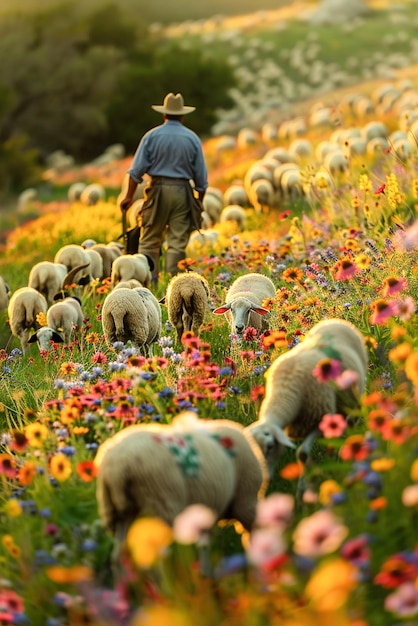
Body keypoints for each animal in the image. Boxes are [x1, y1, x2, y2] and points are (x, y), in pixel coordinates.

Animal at [93, 410, 270, 564]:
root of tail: (117, 466)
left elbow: (204, 548)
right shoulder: (245, 501)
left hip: (118, 511)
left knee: (118, 554)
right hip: (164, 503)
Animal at [247, 320, 368, 476]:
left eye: (270, 446)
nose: (264, 477)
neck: (286, 390)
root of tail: (336, 321)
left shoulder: (320, 416)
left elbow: (303, 453)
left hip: (355, 391)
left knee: (353, 418)